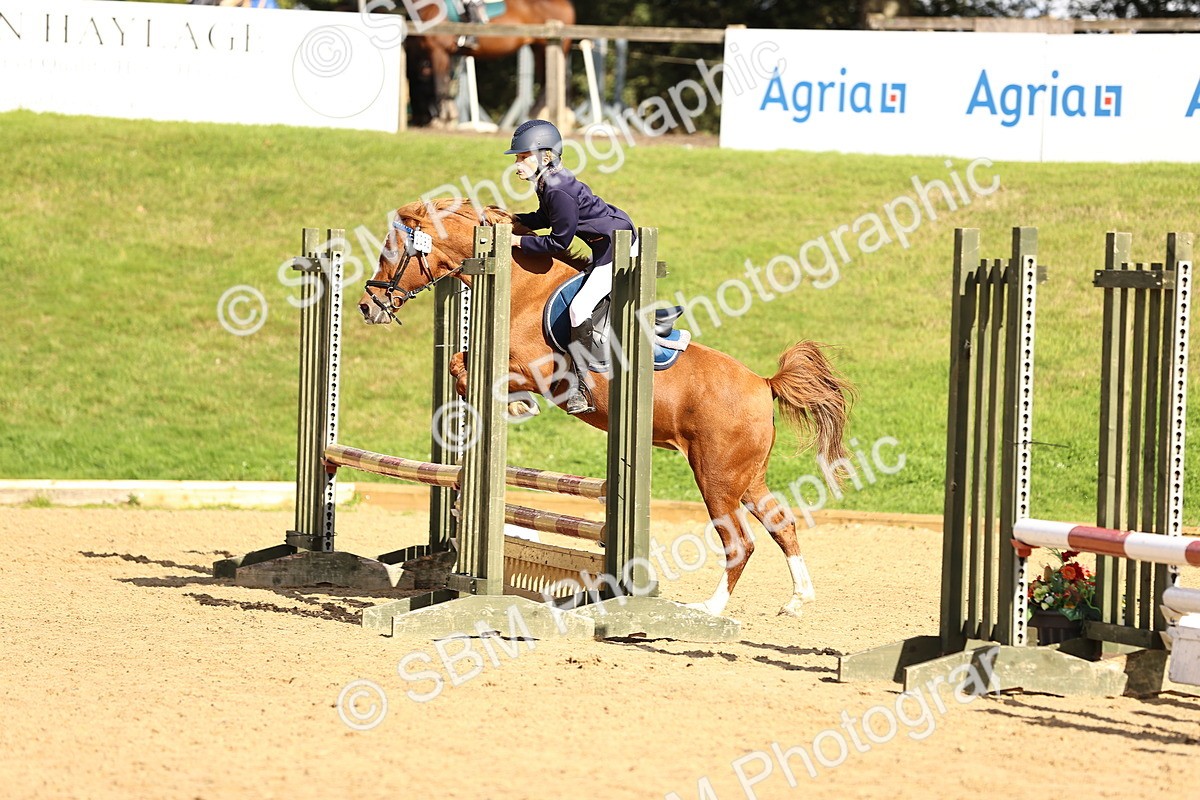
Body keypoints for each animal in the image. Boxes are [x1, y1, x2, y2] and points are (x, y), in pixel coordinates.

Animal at [358, 200, 856, 618]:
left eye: (390, 251)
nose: (366, 305)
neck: (523, 289)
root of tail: (763, 385)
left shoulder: (540, 373)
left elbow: (469, 370)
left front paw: (517, 408)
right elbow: (459, 363)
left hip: (716, 478)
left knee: (740, 542)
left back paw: (710, 609)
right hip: (746, 478)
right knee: (781, 524)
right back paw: (798, 599)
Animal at [405, 0, 575, 127]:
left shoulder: (438, 51)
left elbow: (439, 85)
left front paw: (443, 119)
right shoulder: (418, 52)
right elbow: (416, 81)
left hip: (552, 46)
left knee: (555, 82)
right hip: (540, 48)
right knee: (548, 81)